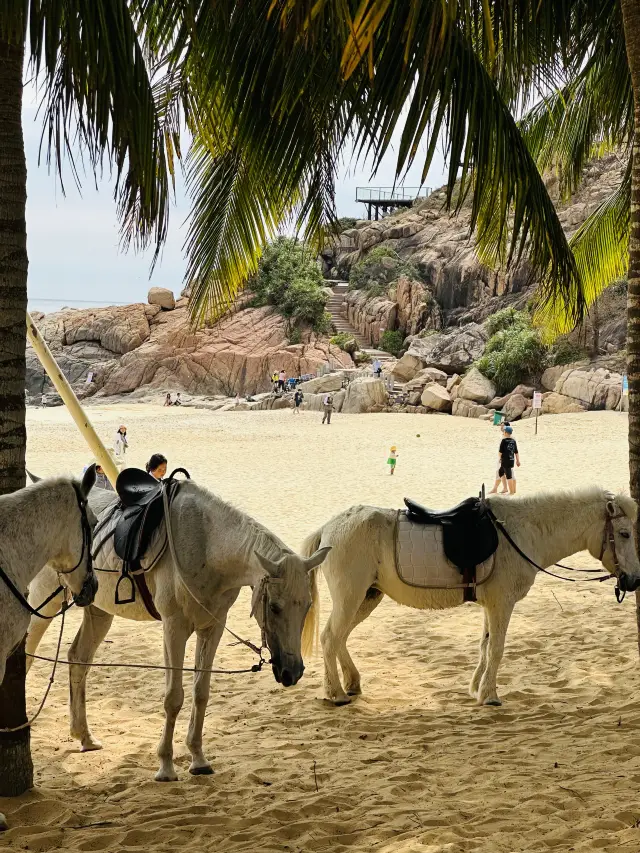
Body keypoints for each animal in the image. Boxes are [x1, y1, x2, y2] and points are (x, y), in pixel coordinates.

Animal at [302, 482, 640, 708]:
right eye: (625, 534)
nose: (633, 580)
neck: (521, 532)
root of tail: (330, 527)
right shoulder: (502, 604)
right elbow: (497, 649)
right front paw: (490, 695)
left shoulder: (491, 606)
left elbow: (485, 646)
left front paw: (476, 688)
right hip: (351, 597)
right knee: (330, 637)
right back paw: (335, 693)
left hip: (367, 597)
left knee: (340, 638)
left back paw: (351, 682)